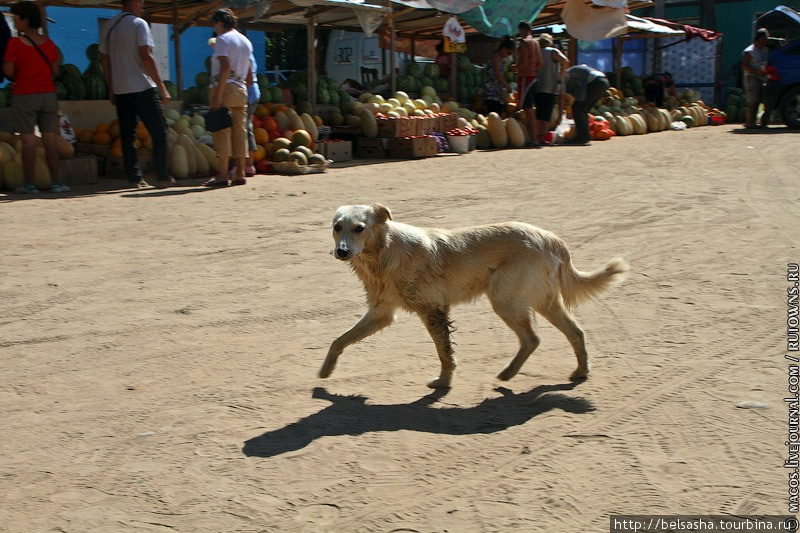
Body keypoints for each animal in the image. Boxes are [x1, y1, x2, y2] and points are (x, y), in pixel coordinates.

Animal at [320, 204, 632, 386]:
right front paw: (325, 371)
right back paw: (576, 372)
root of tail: (551, 239)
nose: (341, 252)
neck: (384, 253)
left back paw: (509, 373)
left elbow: (444, 352)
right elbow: (338, 340)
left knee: (533, 338)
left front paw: (444, 382)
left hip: (505, 301)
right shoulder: (381, 313)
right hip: (542, 303)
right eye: (337, 227)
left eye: (359, 228)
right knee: (574, 332)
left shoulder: (433, 311)